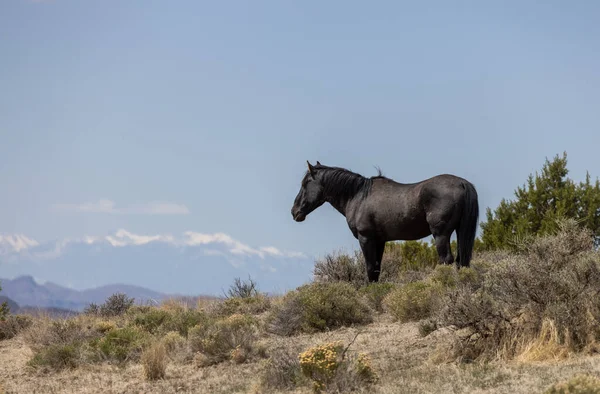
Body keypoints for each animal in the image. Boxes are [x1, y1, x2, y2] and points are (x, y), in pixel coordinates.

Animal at [290, 162, 478, 282]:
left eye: (306, 183)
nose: (295, 211)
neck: (358, 196)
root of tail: (462, 183)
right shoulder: (380, 241)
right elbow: (377, 268)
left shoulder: (366, 238)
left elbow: (369, 268)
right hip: (459, 231)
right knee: (461, 259)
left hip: (440, 234)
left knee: (446, 259)